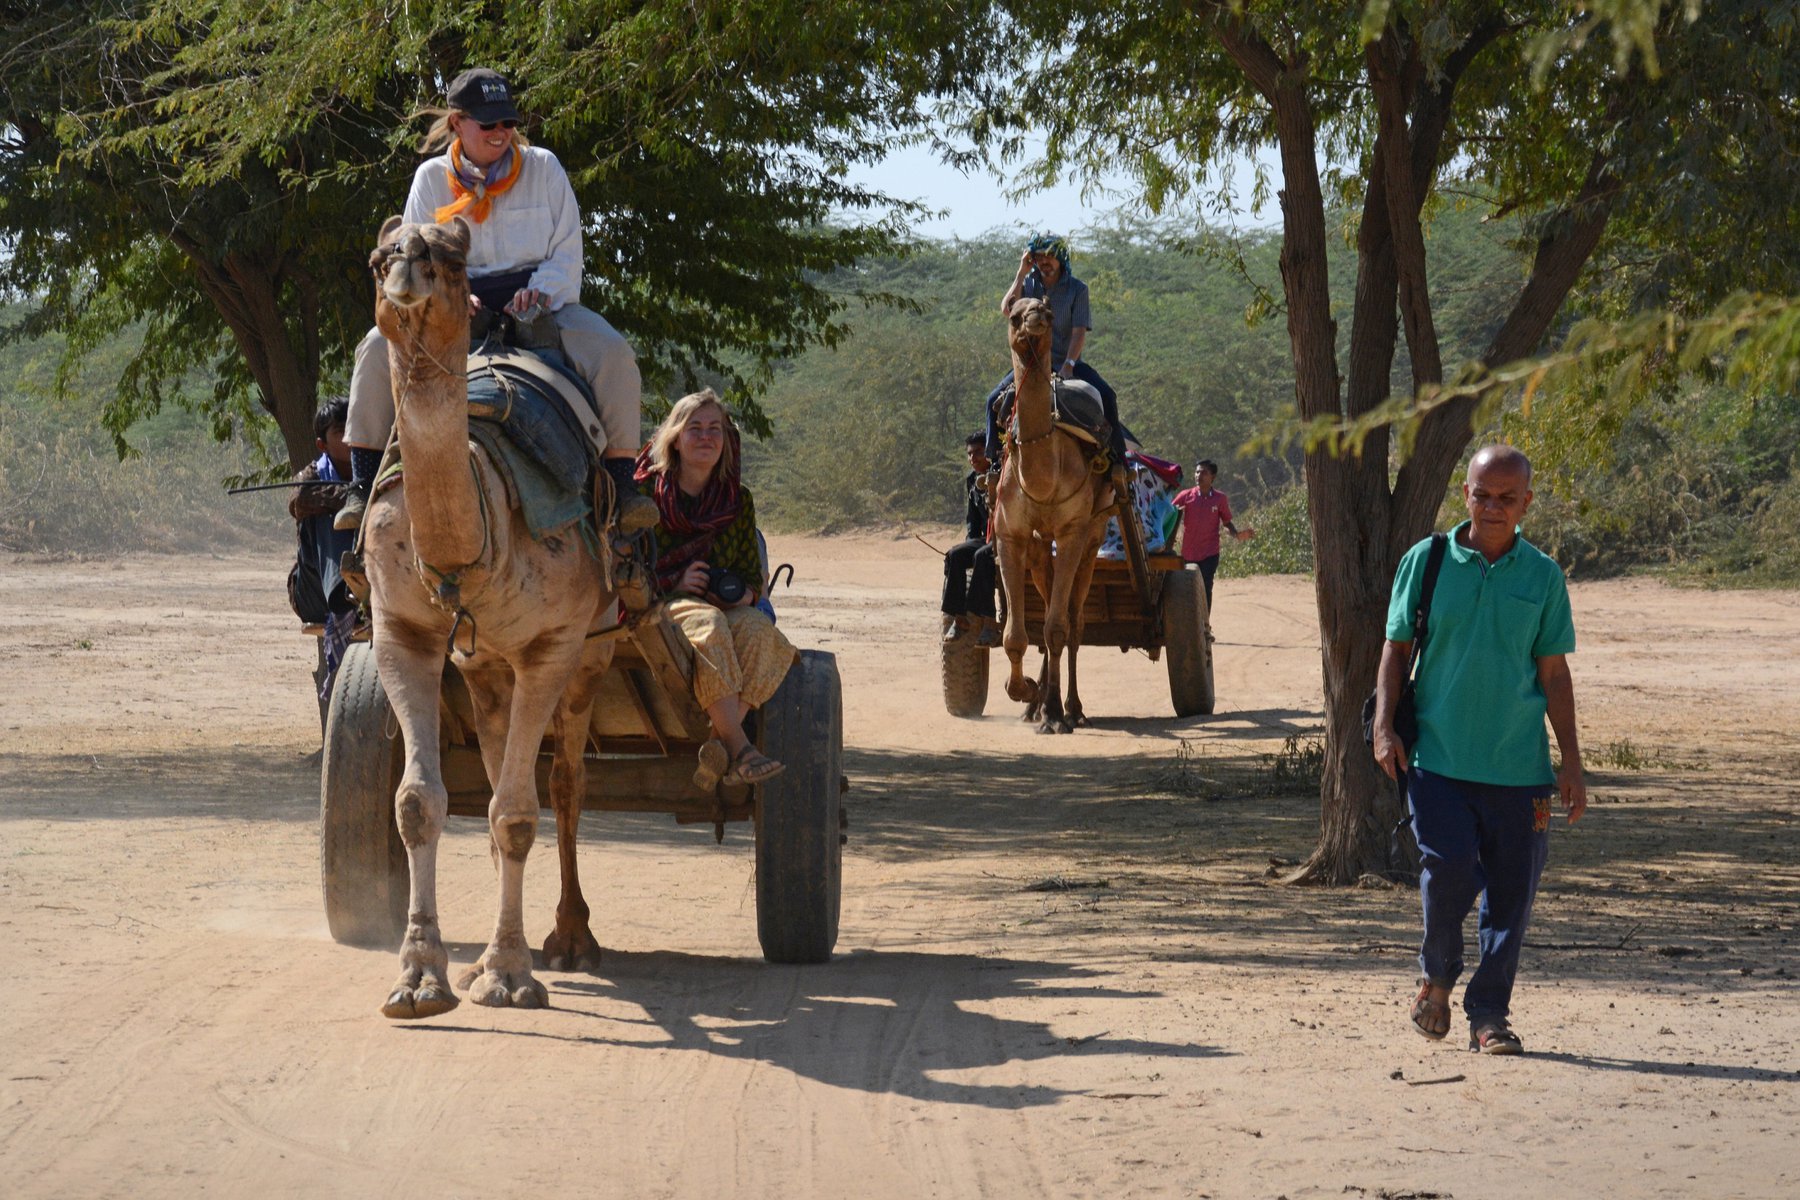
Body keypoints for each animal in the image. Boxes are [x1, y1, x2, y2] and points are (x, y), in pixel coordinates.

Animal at [363, 218, 619, 1021]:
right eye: (378, 258)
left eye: (451, 259)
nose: (407, 265)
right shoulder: (402, 633)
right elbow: (418, 802)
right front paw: (422, 978)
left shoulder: (553, 644)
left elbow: (516, 812)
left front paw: (511, 976)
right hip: (484, 668)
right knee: (505, 747)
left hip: (591, 653)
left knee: (565, 783)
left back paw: (570, 938)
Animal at [993, 298, 1116, 734]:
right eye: (1014, 314)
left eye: (1046, 310)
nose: (1035, 320)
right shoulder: (1010, 535)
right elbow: (1017, 633)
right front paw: (1026, 692)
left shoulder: (1073, 531)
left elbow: (1058, 627)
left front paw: (1055, 714)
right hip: (1039, 547)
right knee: (1047, 607)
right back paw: (1037, 706)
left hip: (1092, 535)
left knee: (1073, 623)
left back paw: (1071, 708)